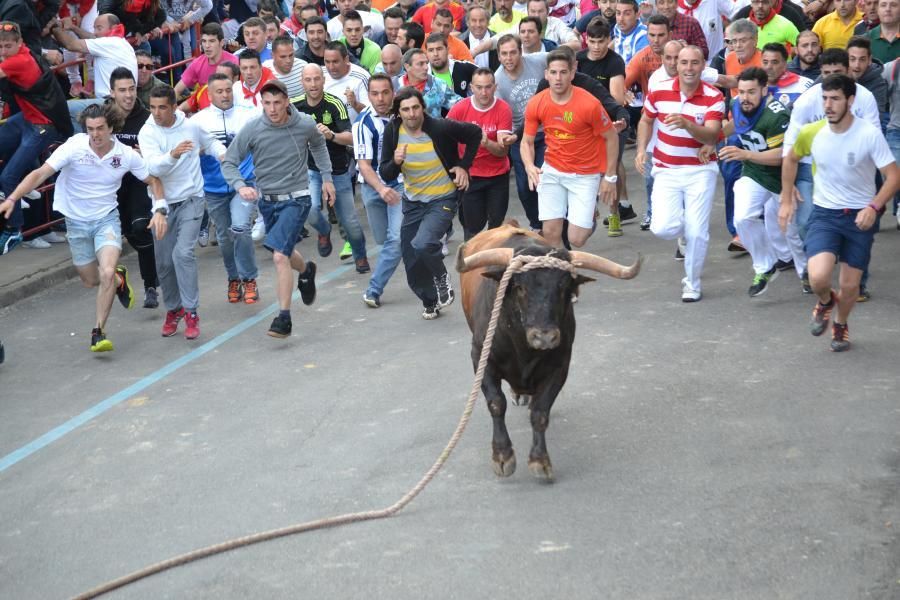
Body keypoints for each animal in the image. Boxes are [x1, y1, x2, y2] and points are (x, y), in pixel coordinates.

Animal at [458, 223, 640, 480]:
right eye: (520, 287)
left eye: (564, 288)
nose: (544, 336)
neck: (523, 349)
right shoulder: (481, 358)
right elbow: (496, 403)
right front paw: (502, 456)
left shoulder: (560, 366)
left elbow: (540, 412)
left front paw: (539, 460)